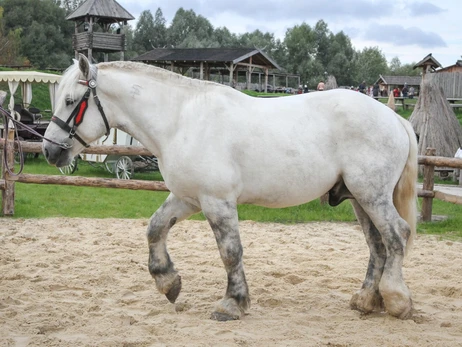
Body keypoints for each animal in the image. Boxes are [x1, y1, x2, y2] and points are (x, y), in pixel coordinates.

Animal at [43, 53, 418, 322]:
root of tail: (394, 118)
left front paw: (231, 304)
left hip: (371, 195)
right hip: (359, 198)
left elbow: (230, 252)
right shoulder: (187, 198)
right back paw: (367, 301)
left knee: (396, 236)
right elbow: (155, 229)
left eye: (71, 100)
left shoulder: (217, 201)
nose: (49, 150)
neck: (180, 121)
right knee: (377, 246)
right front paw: (168, 282)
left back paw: (397, 301)